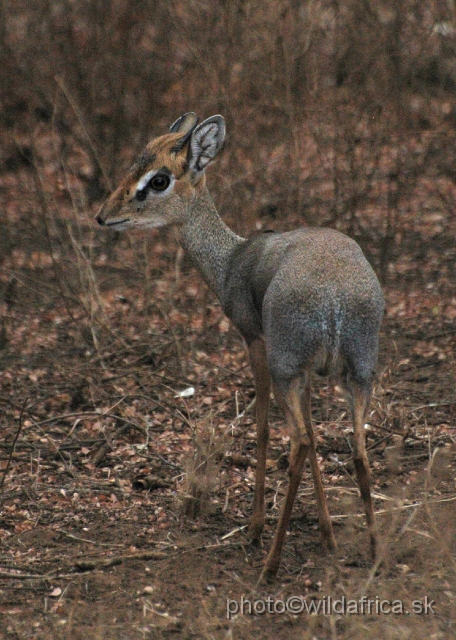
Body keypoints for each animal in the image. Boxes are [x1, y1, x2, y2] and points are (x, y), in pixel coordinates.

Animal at [97, 112, 384, 576]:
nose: (105, 216)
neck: (231, 262)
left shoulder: (256, 342)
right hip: (358, 374)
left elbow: (264, 429)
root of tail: (335, 300)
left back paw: (269, 562)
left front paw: (254, 527)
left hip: (288, 369)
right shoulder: (307, 373)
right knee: (354, 448)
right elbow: (317, 434)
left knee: (299, 442)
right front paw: (327, 534)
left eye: (158, 179)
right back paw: (375, 557)